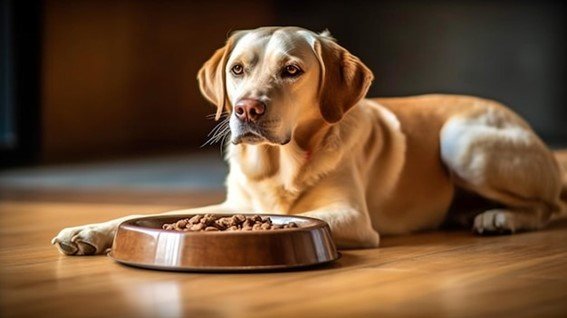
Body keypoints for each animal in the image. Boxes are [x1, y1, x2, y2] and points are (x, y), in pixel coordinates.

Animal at [51, 25, 564, 256]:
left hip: (462, 142)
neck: (275, 165)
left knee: (549, 207)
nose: (246, 109)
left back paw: (499, 217)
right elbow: (138, 214)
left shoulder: (351, 218)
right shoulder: (232, 203)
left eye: (292, 70)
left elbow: (297, 219)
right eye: (238, 70)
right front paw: (88, 232)